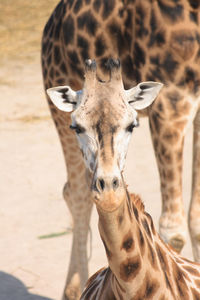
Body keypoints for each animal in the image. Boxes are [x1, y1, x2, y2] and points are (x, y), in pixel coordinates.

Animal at [41, 0, 200, 298]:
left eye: (132, 125)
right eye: (77, 127)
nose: (108, 186)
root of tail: (52, 22)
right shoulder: (172, 100)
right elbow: (172, 229)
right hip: (57, 90)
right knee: (75, 194)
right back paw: (74, 289)